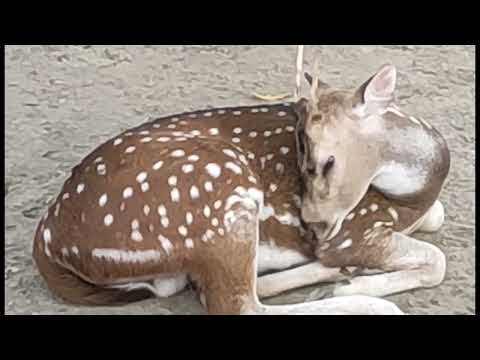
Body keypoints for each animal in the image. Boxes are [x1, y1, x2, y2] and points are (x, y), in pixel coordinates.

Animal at [32, 64, 450, 316]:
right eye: (305, 158)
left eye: (325, 162)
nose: (310, 225)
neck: (414, 194)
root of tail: (49, 240)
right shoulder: (354, 230)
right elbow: (437, 260)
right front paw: (349, 283)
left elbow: (437, 219)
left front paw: (345, 274)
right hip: (221, 190)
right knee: (238, 305)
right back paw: (360, 298)